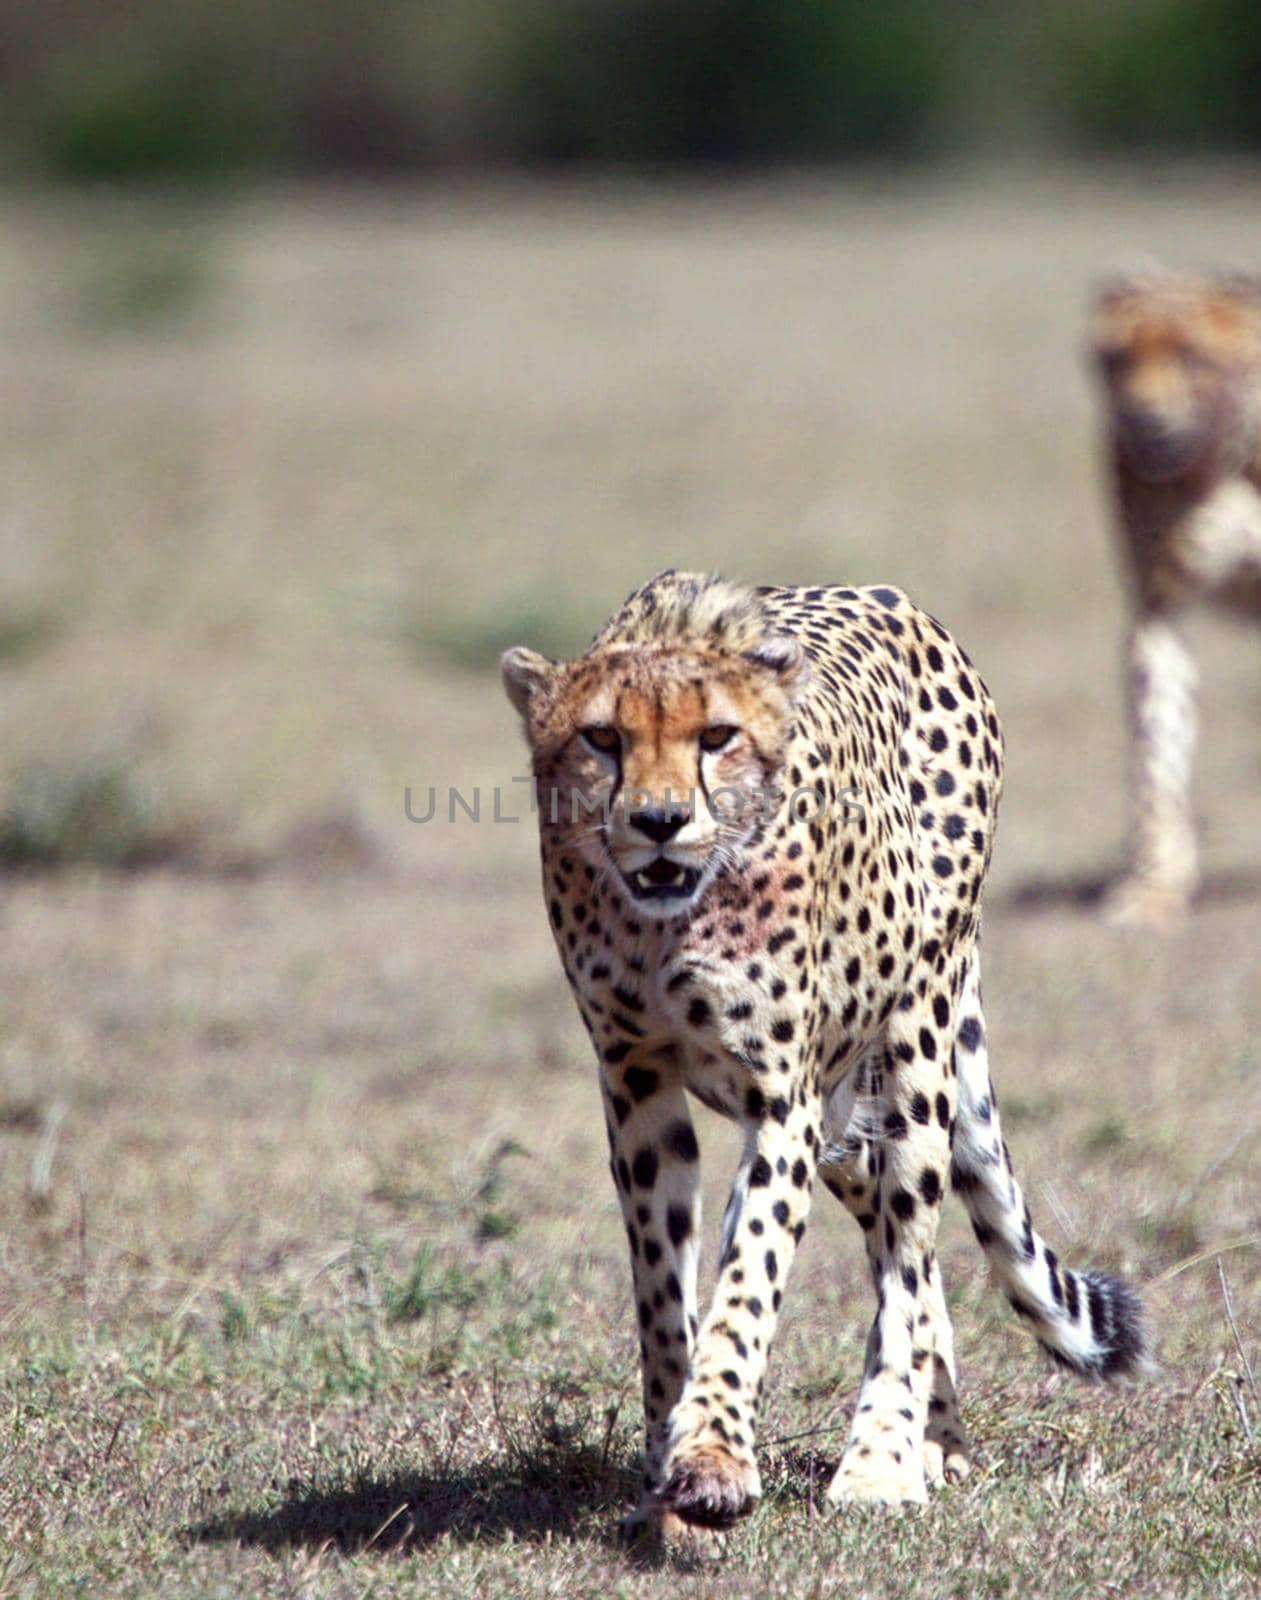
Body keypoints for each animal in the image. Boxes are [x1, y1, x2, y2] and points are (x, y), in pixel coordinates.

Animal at [499, 572, 1145, 1536]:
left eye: (716, 737)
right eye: (602, 738)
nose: (658, 821)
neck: (668, 921)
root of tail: (893, 599)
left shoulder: (782, 1097)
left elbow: (749, 1279)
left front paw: (713, 1458)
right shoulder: (636, 1080)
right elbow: (662, 1289)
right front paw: (667, 1462)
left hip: (914, 1041)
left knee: (908, 1252)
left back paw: (885, 1458)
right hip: (846, 1112)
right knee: (899, 1245)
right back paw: (936, 1435)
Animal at [1081, 270, 1261, 934]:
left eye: (1190, 356)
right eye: (1116, 359)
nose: (1142, 419)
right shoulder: (1157, 605)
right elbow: (1157, 749)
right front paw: (1155, 889)